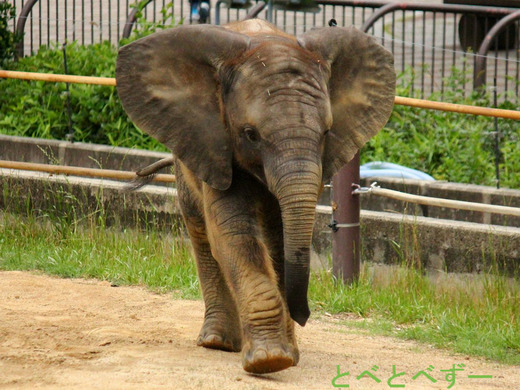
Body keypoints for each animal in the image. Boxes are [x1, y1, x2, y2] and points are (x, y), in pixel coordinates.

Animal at [117, 19, 394, 374]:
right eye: (250, 135)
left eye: (326, 133)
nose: (304, 315)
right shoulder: (216, 145)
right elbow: (234, 234)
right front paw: (269, 361)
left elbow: (280, 240)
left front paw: (285, 355)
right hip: (187, 158)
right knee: (202, 234)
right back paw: (217, 343)